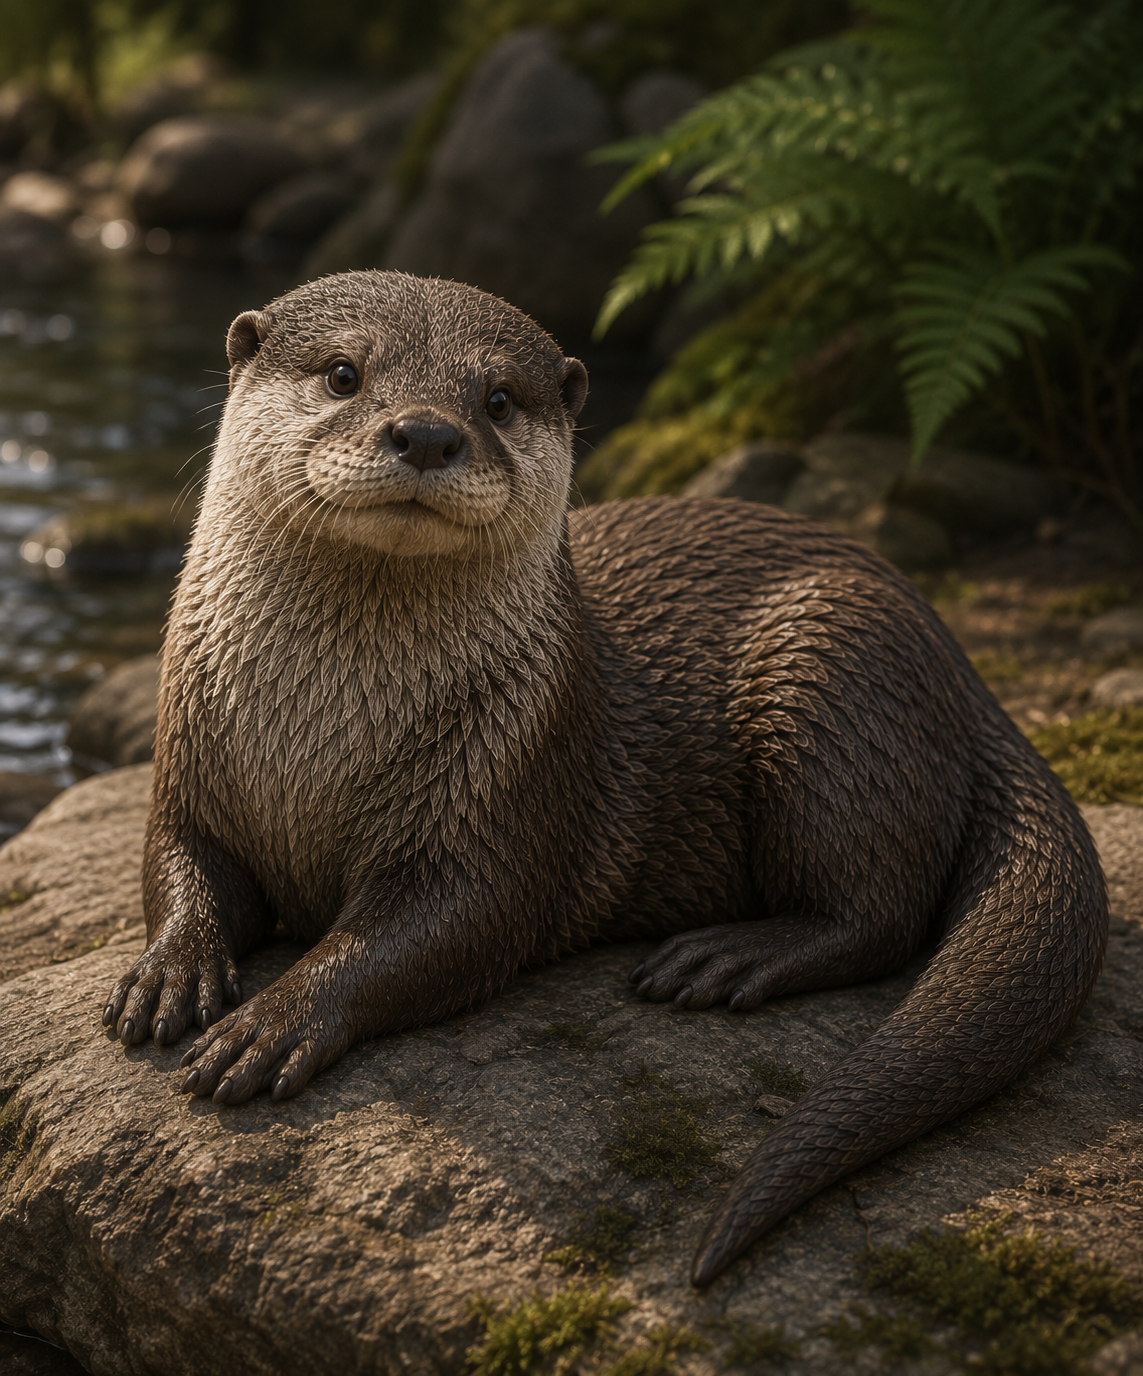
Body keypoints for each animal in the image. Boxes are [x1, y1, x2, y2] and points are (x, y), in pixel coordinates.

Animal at [102, 270, 1107, 1287]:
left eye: (497, 399)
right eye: (344, 373)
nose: (426, 433)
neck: (321, 742)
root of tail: (958, 659)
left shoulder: (509, 777)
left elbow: (452, 923)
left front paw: (275, 1018)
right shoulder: (190, 766)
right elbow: (175, 865)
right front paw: (169, 972)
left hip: (834, 678)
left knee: (880, 910)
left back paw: (728, 957)